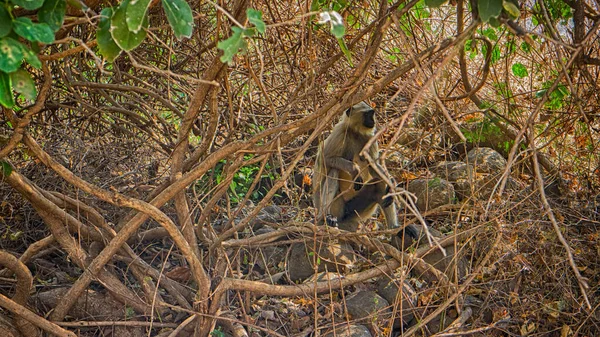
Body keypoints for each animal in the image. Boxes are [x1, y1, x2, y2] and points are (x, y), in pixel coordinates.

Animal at [314, 100, 418, 239]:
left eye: (372, 114)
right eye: (368, 114)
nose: (373, 121)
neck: (355, 132)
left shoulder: (370, 138)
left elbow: (373, 167)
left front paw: (391, 182)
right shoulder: (339, 132)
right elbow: (325, 159)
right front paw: (354, 170)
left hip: (355, 211)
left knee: (379, 183)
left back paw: (395, 228)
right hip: (336, 207)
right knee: (334, 171)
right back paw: (327, 216)